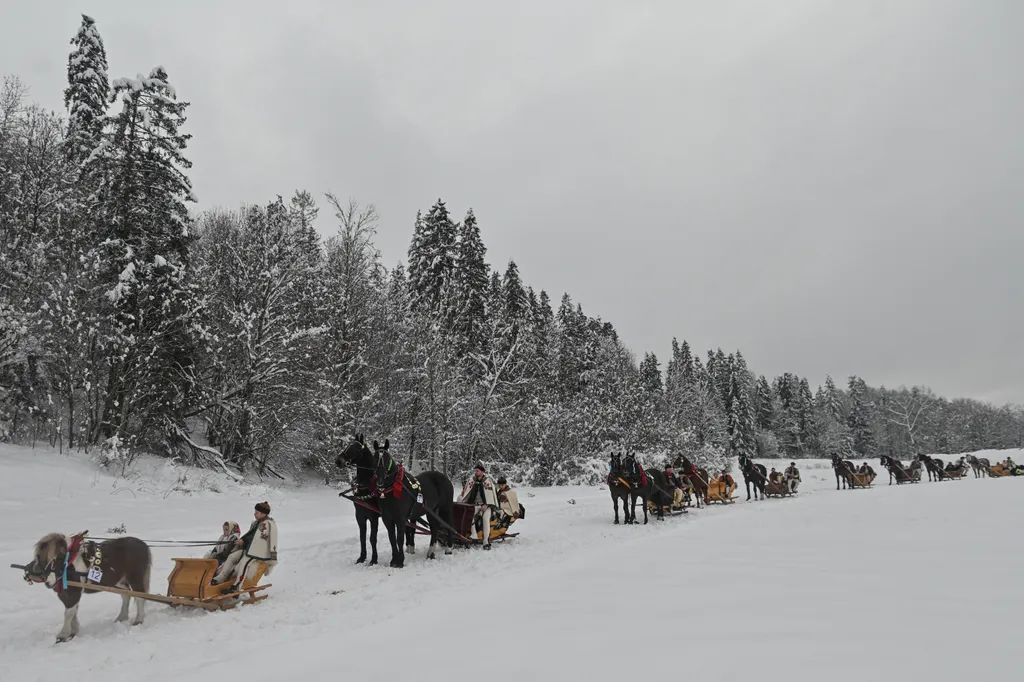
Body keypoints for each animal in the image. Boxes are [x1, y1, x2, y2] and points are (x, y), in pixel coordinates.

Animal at [21, 532, 149, 643]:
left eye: (60, 557)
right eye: (41, 558)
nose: (49, 582)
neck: (70, 563)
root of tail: (142, 544)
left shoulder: (74, 591)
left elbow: (69, 612)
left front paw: (63, 635)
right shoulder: (64, 593)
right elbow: (72, 611)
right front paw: (73, 631)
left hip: (135, 579)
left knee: (139, 597)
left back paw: (138, 620)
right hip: (118, 582)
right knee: (126, 594)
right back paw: (121, 617)